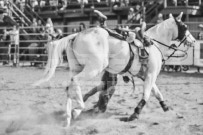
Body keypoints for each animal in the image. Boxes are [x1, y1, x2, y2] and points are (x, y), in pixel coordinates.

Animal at [33, 12, 195, 126]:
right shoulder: (151, 74)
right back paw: (78, 108)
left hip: (76, 67)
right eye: (185, 27)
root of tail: (76, 35)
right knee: (75, 82)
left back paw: (68, 117)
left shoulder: (146, 75)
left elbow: (157, 93)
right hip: (94, 68)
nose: (193, 40)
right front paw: (135, 114)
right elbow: (147, 94)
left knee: (69, 86)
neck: (153, 44)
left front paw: (166, 108)